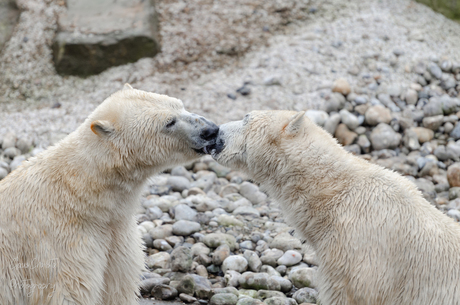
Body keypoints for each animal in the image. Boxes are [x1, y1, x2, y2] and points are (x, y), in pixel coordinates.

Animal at [0, 83, 219, 304]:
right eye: (169, 122)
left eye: (180, 105)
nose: (211, 130)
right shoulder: (59, 244)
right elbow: (71, 291)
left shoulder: (117, 231)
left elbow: (117, 284)